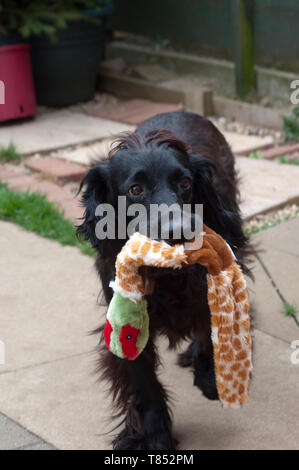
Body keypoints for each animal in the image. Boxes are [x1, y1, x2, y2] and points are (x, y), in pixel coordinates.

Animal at [77, 112, 251, 450]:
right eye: (135, 189)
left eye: (185, 183)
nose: (179, 231)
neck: (166, 275)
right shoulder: (125, 316)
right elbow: (143, 383)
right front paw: (152, 436)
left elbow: (210, 325)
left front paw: (210, 376)